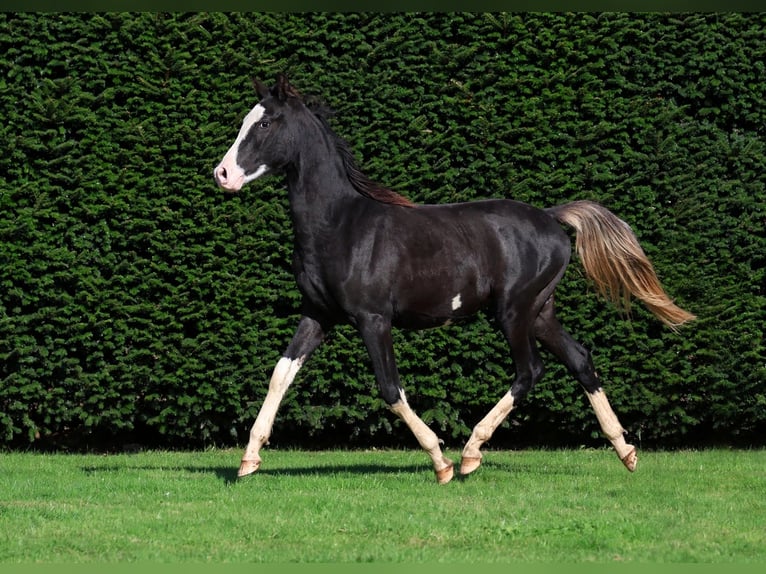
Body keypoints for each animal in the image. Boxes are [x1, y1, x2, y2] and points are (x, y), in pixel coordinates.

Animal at [213, 74, 695, 484]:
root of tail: (552, 218)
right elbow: (280, 375)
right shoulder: (318, 316)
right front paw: (248, 460)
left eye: (266, 123)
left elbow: (390, 388)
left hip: (513, 313)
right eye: (245, 121)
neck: (341, 226)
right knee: (580, 360)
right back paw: (625, 451)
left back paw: (469, 454)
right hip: (540, 312)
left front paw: (439, 461)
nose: (222, 174)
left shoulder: (373, 319)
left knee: (530, 371)